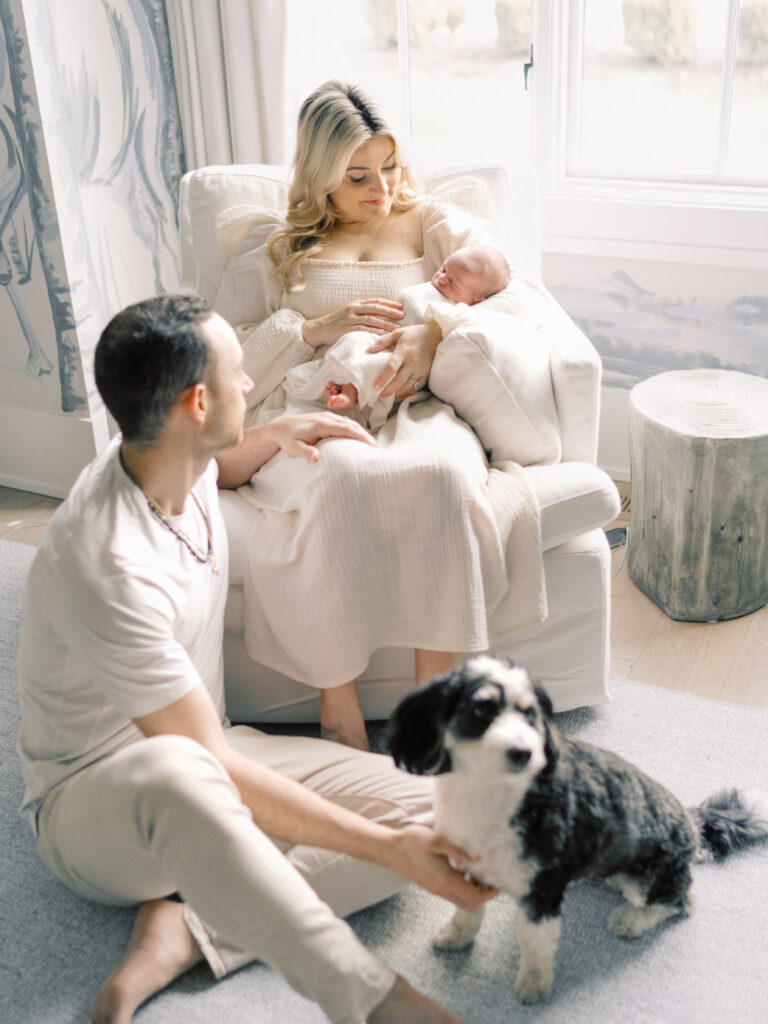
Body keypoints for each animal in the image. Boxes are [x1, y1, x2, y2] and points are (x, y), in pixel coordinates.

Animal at [391, 655, 768, 999]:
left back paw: (631, 919)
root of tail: (691, 822)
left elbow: (535, 945)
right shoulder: (469, 873)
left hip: (647, 878)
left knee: (682, 899)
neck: (490, 793)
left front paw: (533, 987)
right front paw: (457, 937)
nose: (524, 752)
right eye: (482, 710)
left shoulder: (542, 892)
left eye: (530, 716)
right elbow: (466, 912)